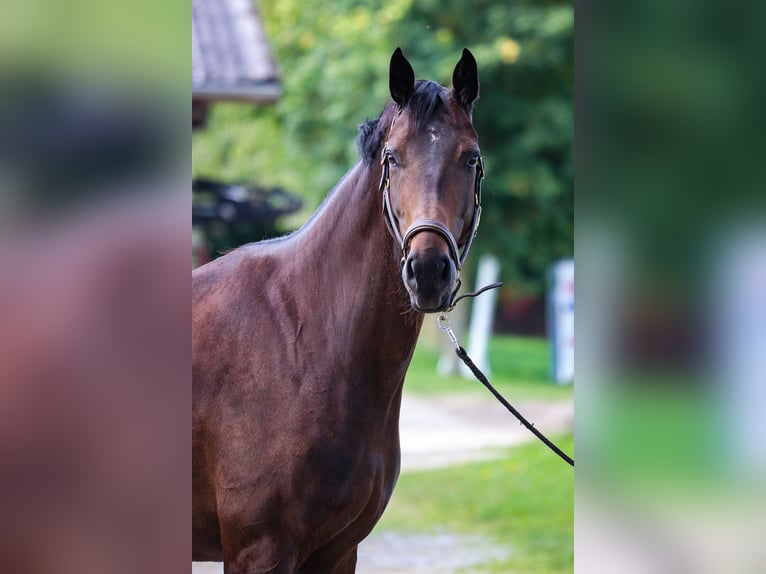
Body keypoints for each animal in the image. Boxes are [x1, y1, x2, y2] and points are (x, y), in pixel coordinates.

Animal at [194, 49, 480, 574]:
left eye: (471, 158)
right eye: (393, 157)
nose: (429, 270)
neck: (303, 337)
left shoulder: (338, 551)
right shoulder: (257, 552)